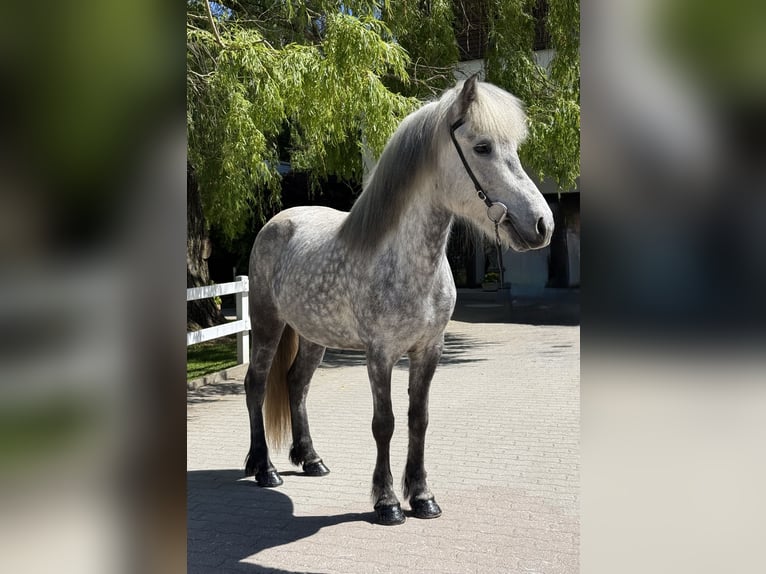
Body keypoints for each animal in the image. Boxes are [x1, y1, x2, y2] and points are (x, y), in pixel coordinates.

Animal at [243, 75, 554, 525]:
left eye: (514, 147)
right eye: (482, 147)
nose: (542, 224)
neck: (407, 263)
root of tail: (277, 222)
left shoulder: (429, 350)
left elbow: (418, 420)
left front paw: (422, 496)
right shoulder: (380, 354)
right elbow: (384, 423)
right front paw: (387, 501)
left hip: (314, 335)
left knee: (296, 384)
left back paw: (311, 459)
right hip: (267, 323)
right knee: (256, 383)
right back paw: (264, 468)